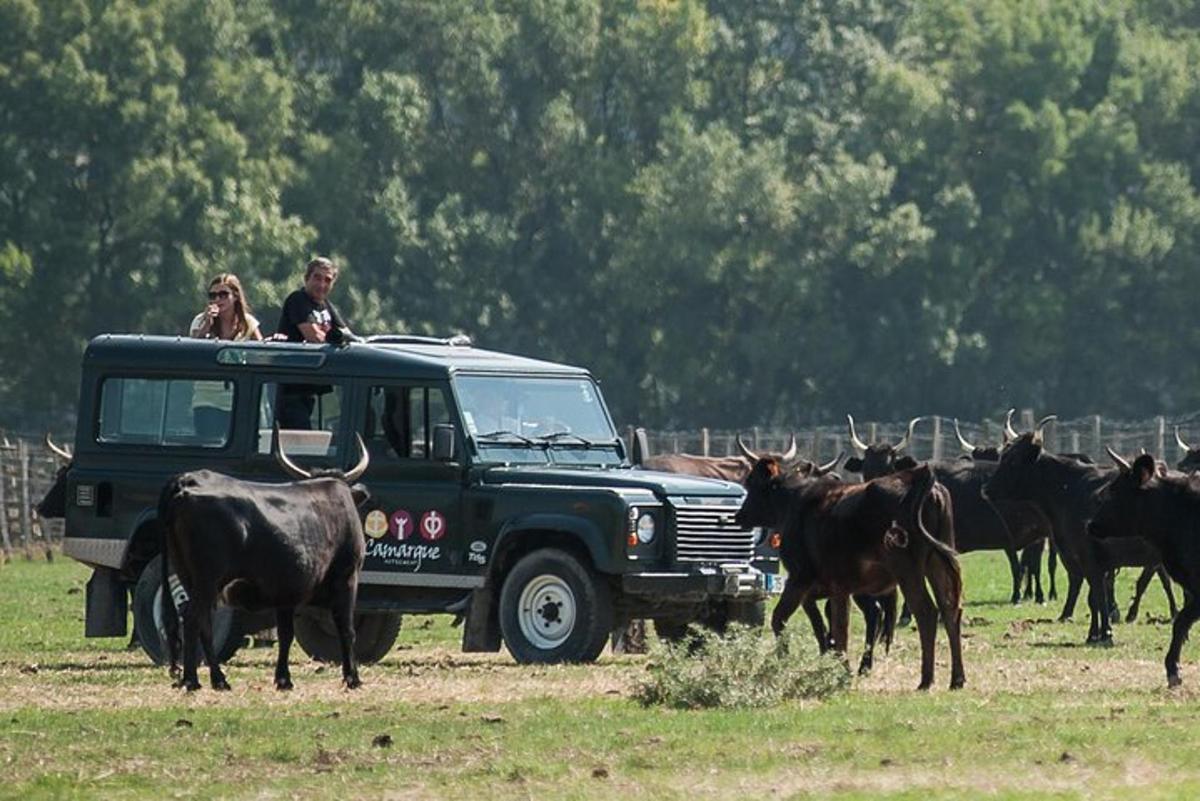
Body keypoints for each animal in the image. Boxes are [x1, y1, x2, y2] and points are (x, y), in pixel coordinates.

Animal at [160, 429, 369, 690]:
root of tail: (186, 481)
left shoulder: (287, 593)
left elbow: (286, 634)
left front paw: (283, 679)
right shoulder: (347, 577)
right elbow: (346, 628)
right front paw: (353, 677)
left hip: (189, 576)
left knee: (202, 622)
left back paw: (216, 679)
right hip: (208, 579)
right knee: (192, 619)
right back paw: (195, 680)